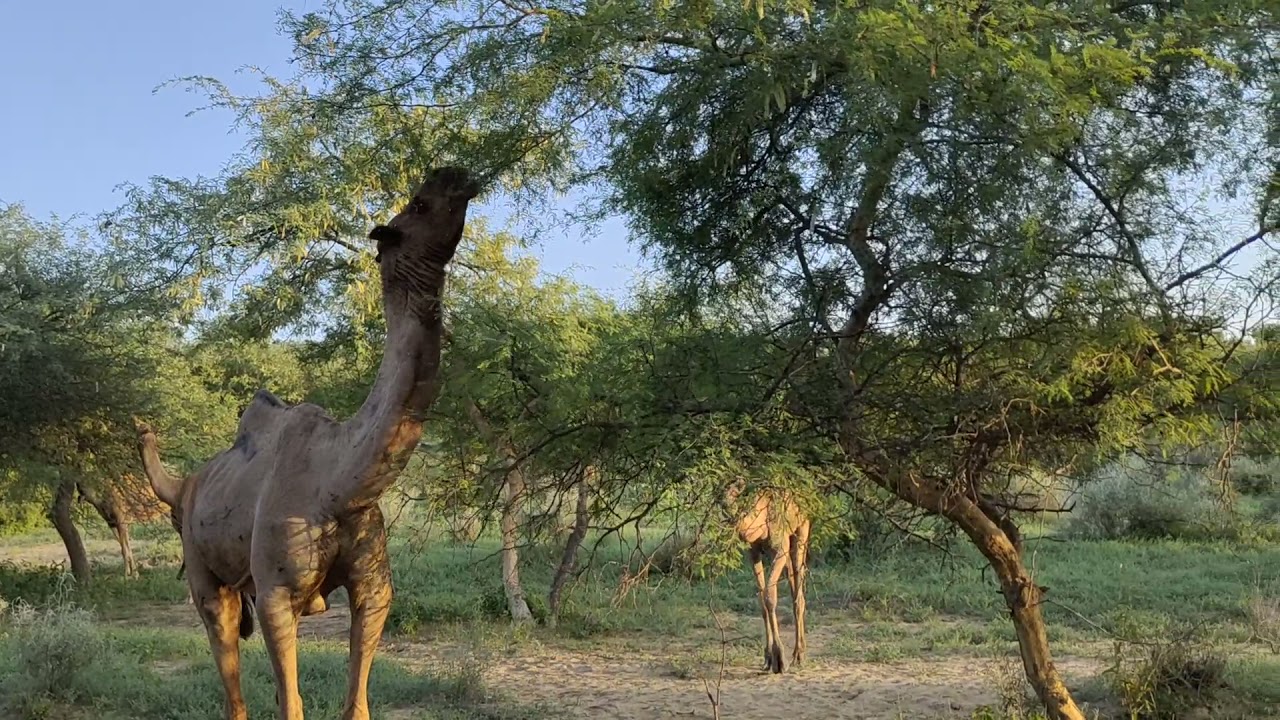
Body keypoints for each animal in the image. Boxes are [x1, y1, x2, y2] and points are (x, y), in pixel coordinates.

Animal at [137, 167, 479, 720]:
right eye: (420, 204)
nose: (458, 176)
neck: (338, 483)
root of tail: (184, 487)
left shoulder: (374, 589)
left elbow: (355, 702)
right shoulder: (276, 593)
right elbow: (291, 703)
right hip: (205, 572)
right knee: (227, 665)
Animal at [726, 483, 811, 674]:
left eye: (734, 495)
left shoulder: (780, 547)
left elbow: (769, 597)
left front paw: (780, 660)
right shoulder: (753, 551)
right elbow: (762, 601)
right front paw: (768, 659)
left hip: (801, 532)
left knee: (798, 592)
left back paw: (799, 655)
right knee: (793, 584)